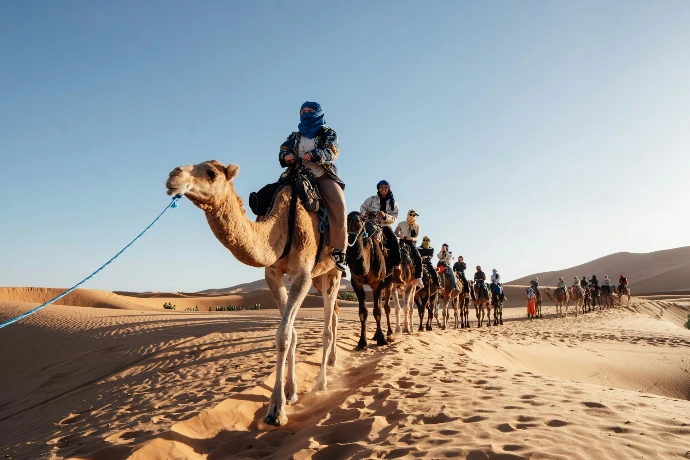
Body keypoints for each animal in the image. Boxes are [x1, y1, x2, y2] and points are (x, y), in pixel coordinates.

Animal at [166, 161, 341, 427]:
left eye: (211, 173)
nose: (173, 175)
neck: (280, 226)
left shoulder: (302, 274)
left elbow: (283, 336)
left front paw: (276, 410)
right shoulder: (274, 273)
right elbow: (291, 334)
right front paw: (290, 392)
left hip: (333, 271)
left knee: (328, 327)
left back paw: (322, 382)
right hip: (319, 276)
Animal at [346, 212, 393, 349]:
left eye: (362, 219)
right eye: (347, 218)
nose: (356, 223)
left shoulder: (379, 282)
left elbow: (377, 311)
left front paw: (382, 340)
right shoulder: (356, 282)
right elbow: (363, 312)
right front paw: (362, 342)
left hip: (389, 281)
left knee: (386, 306)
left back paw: (389, 333)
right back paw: (376, 335)